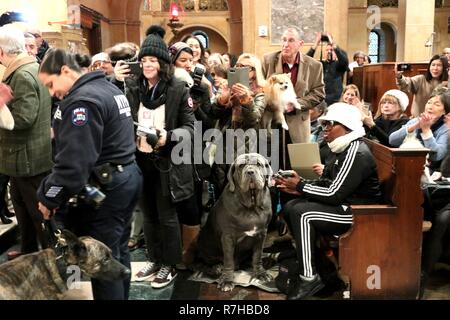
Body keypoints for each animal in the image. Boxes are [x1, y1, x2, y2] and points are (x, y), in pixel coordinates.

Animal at [197, 154, 274, 292]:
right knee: (204, 263)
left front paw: (261, 273)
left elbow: (257, 256)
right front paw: (227, 280)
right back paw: (216, 268)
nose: (250, 172)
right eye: (241, 165)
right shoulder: (228, 237)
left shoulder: (261, 234)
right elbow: (228, 261)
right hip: (205, 244)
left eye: (258, 164)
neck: (251, 205)